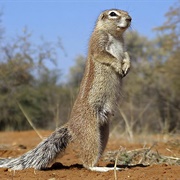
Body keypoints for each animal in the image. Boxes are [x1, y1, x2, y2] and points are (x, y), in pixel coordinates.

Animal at [0, 8, 132, 172]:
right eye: (113, 14)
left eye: (126, 12)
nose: (130, 19)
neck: (115, 36)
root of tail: (71, 127)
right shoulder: (98, 43)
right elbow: (105, 56)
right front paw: (118, 65)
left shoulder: (123, 47)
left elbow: (126, 54)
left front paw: (127, 65)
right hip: (90, 132)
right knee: (87, 162)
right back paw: (104, 169)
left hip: (104, 131)